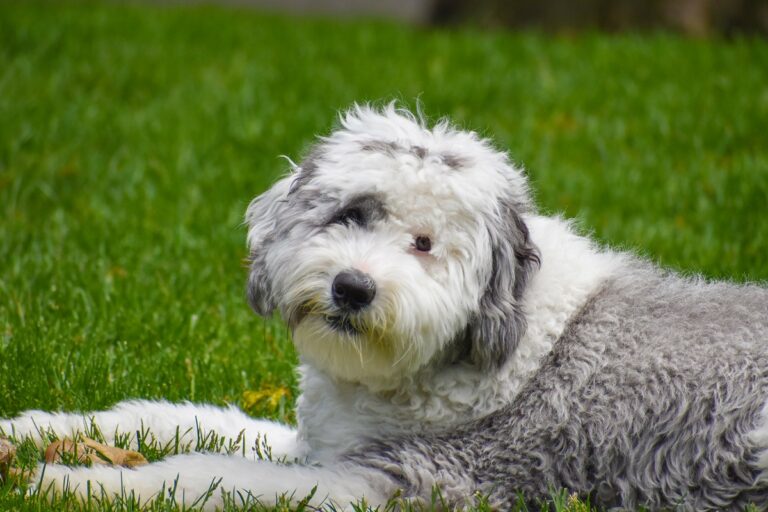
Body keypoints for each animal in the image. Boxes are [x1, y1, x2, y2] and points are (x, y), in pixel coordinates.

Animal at [1, 104, 768, 508]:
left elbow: (200, 475)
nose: (353, 288)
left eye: (425, 244)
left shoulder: (396, 483)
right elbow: (183, 420)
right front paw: (33, 432)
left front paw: (61, 479)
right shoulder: (321, 443)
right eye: (353, 213)